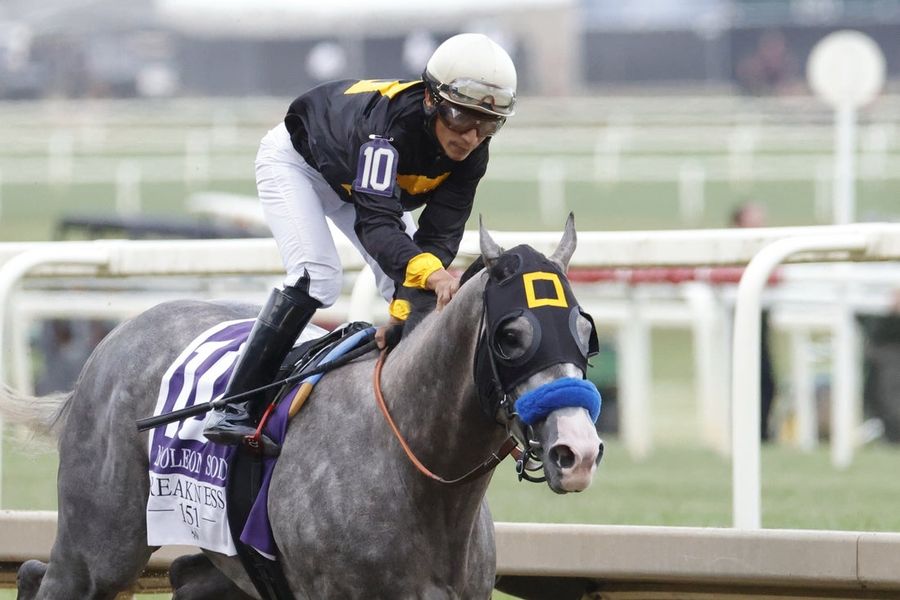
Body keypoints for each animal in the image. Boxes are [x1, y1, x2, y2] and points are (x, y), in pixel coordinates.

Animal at [1, 217, 603, 599]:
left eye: (584, 331)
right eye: (511, 336)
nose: (577, 452)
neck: (416, 471)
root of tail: (108, 345)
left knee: (187, 578)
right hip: (99, 549)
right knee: (42, 575)